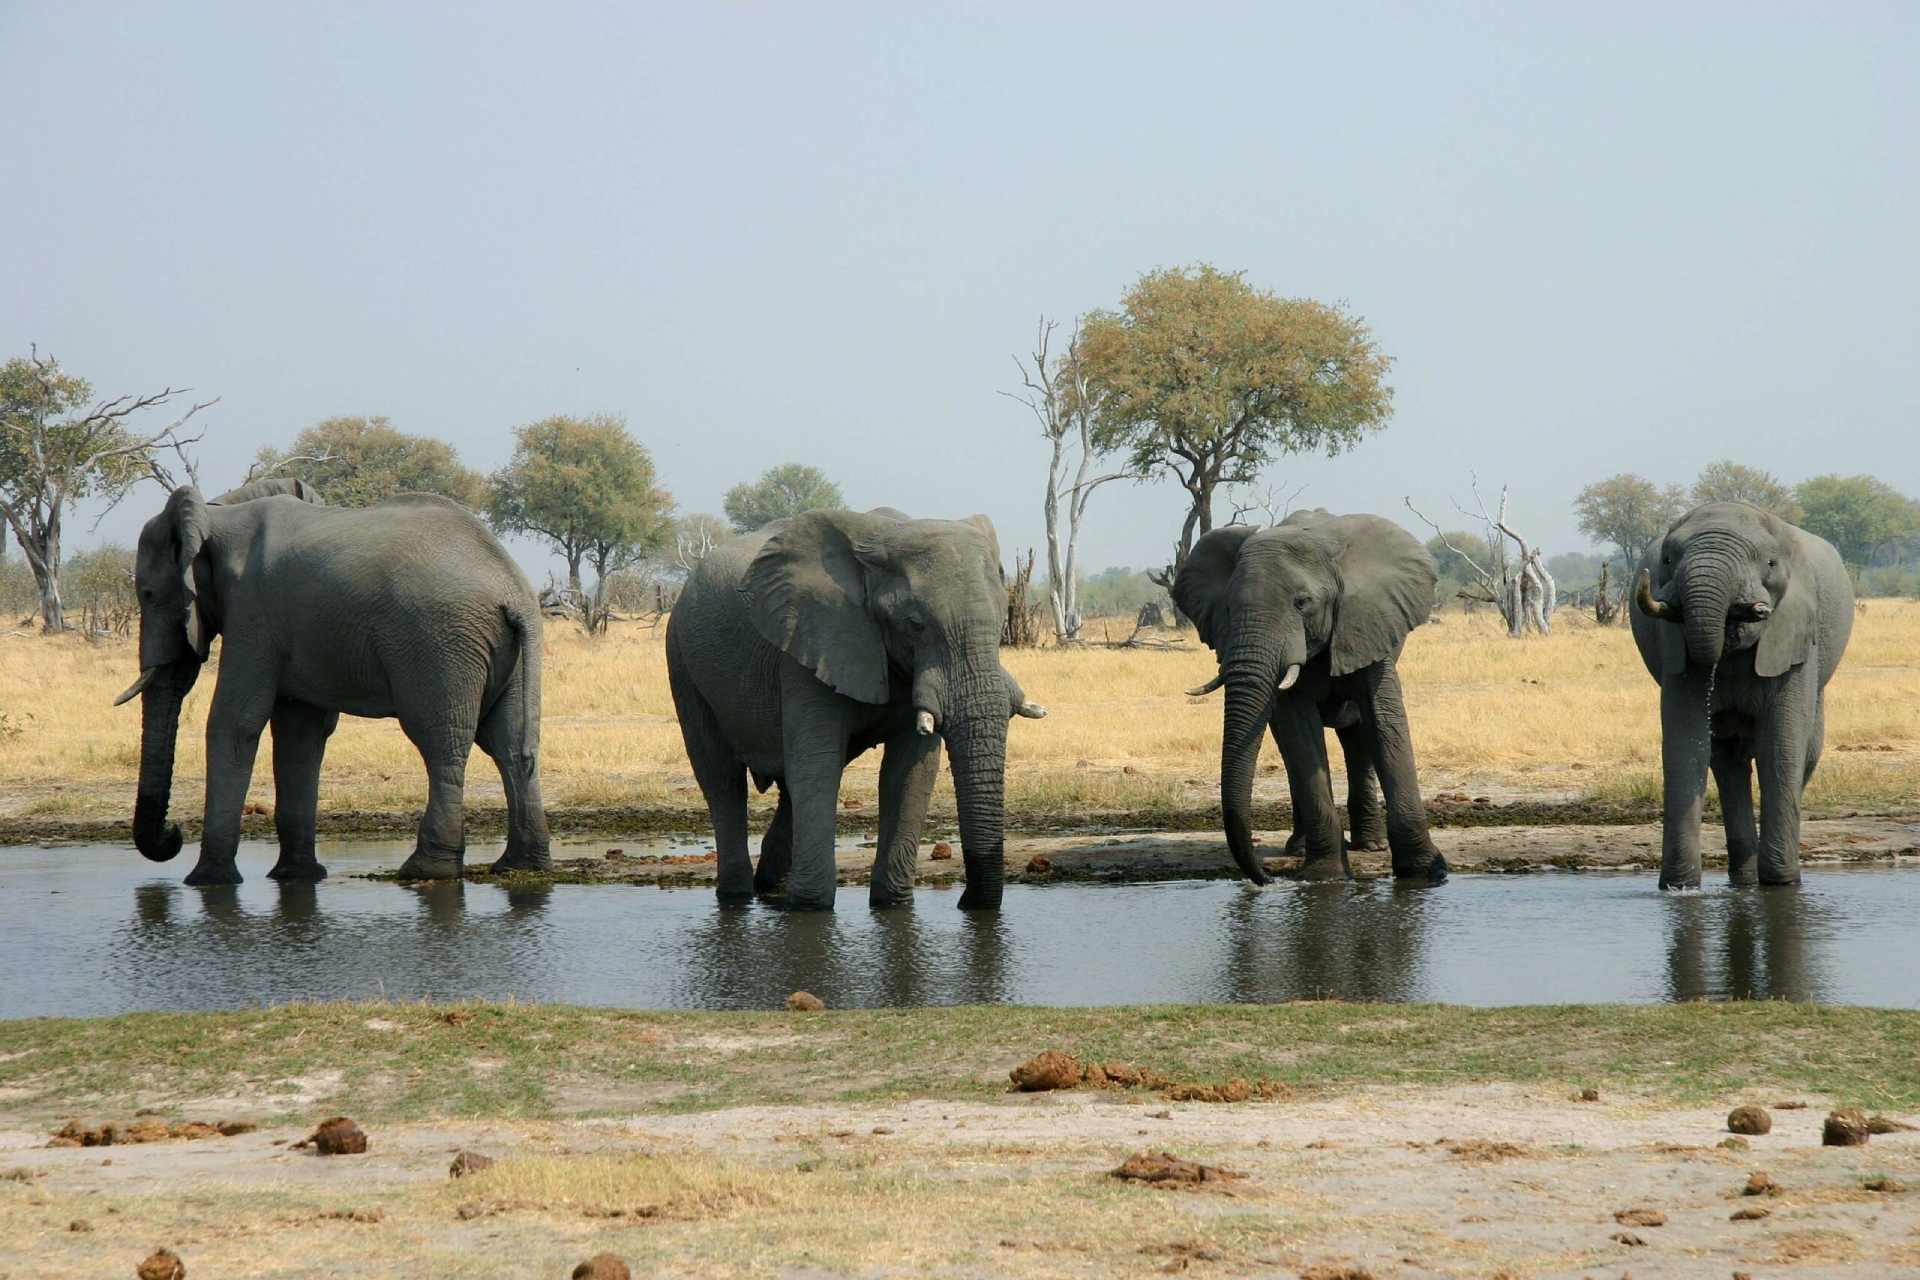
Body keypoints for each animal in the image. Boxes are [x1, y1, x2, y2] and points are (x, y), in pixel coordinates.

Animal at [116, 478, 550, 886]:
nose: (173, 834)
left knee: (440, 742)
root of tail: (512, 587)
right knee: (509, 746)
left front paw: (208, 882)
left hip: (440, 642)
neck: (217, 513)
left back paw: (426, 870)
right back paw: (518, 866)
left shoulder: (253, 613)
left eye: (148, 594)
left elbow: (234, 723)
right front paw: (296, 876)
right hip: (503, 648)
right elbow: (300, 734)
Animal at [665, 507, 1046, 912]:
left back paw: (772, 888)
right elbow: (817, 766)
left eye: (1003, 621)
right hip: (682, 661)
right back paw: (739, 894)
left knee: (786, 789)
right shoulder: (811, 642)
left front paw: (892, 904)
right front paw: (811, 908)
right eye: (915, 625)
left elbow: (909, 773)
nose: (964, 902)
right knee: (722, 779)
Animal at [1172, 509, 1447, 885]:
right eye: (1227, 608)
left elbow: (1385, 722)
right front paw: (1324, 877)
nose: (1266, 878)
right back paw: (1300, 849)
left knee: (1357, 737)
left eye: (1302, 603)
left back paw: (1371, 846)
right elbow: (1299, 733)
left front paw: (1426, 873)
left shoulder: (1366, 624)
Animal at [1629, 500, 1853, 889]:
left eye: (1769, 563)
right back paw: (1743, 877)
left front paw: (1781, 883)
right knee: (1726, 761)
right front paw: (1680, 888)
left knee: (1806, 750)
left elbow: (1780, 748)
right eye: (1668, 560)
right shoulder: (1673, 643)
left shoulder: (1794, 632)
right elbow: (1685, 747)